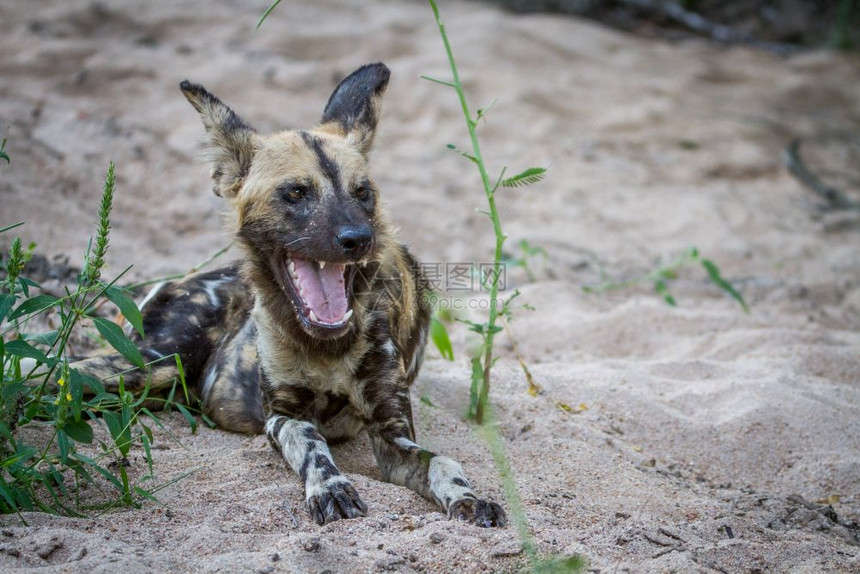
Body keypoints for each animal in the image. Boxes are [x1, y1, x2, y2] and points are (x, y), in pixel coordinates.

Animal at [74, 63, 508, 528]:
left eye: (363, 193)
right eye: (297, 192)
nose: (359, 239)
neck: (325, 346)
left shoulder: (392, 433)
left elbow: (442, 461)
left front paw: (469, 498)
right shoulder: (282, 416)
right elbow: (311, 440)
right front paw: (331, 487)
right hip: (151, 364)